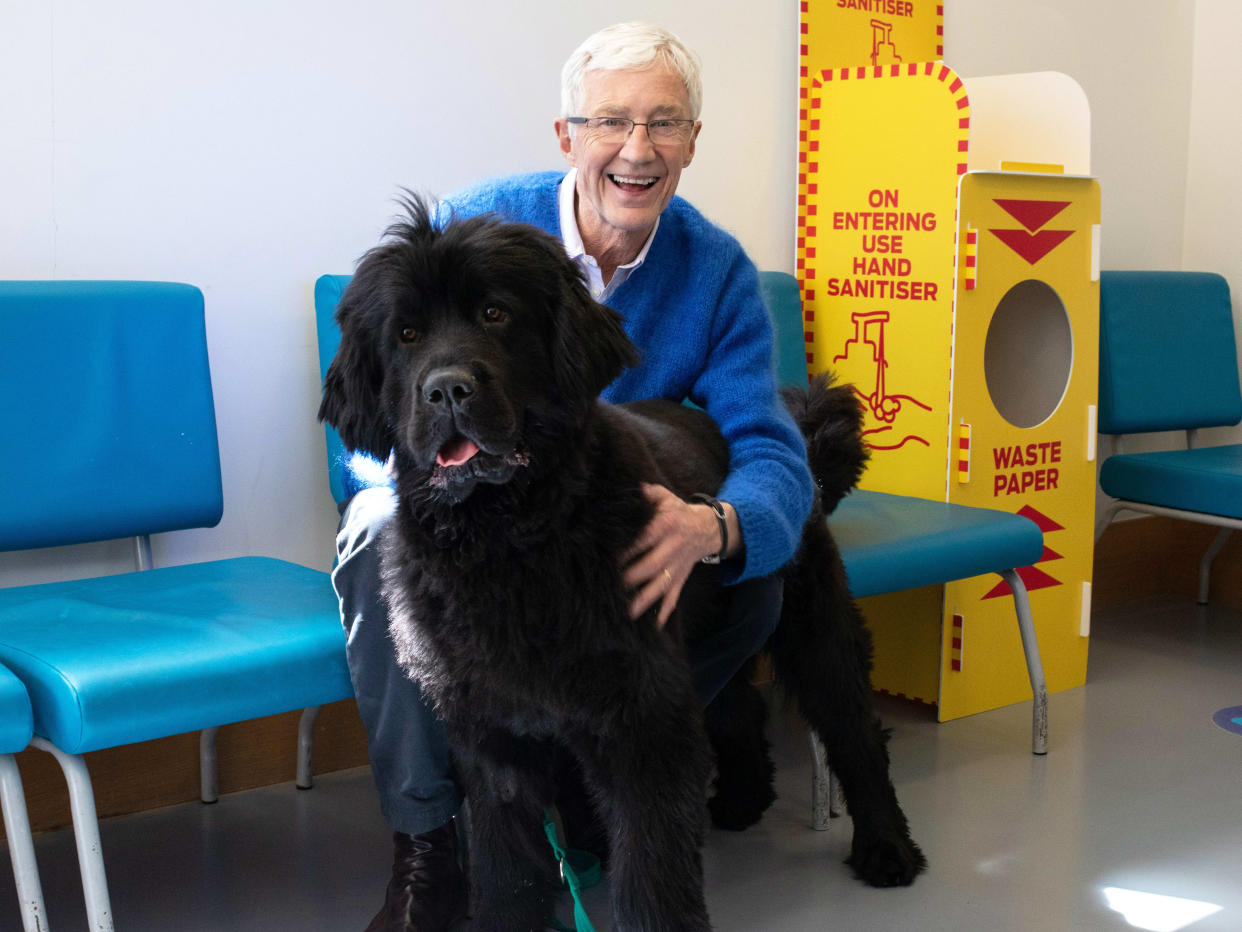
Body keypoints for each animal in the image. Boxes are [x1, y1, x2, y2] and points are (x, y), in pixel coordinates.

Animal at [320, 198, 924, 932]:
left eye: (495, 314)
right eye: (406, 334)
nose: (448, 391)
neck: (511, 536)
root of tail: (795, 439)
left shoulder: (642, 722)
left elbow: (652, 871)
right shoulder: (492, 736)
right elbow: (508, 866)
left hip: (813, 627)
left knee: (856, 732)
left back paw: (887, 847)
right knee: (740, 705)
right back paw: (740, 800)